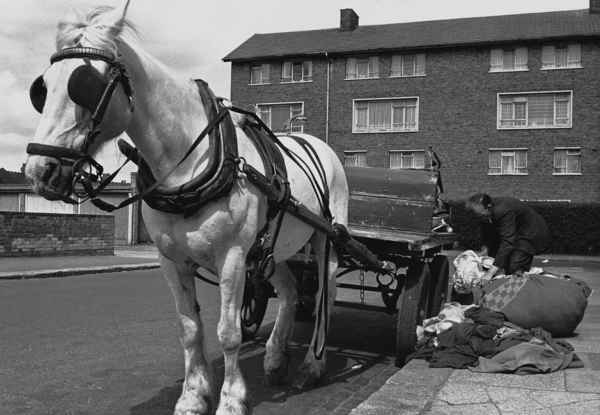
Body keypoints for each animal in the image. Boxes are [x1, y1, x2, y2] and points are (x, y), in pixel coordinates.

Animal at [24, 0, 352, 415]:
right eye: (42, 88)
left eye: (84, 84)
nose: (39, 171)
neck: (190, 160)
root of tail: (316, 142)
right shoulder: (172, 259)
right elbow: (190, 329)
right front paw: (193, 395)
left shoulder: (232, 256)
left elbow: (228, 333)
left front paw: (230, 400)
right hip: (273, 248)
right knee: (292, 291)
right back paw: (276, 358)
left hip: (327, 239)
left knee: (326, 295)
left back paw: (312, 365)